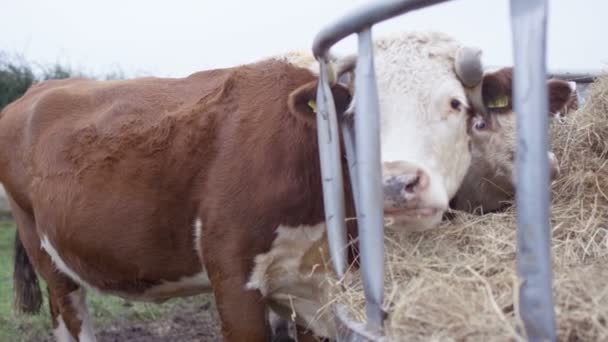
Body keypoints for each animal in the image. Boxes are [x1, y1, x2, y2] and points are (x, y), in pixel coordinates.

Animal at [2, 30, 482, 340]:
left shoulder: (313, 291)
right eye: (353, 113)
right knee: (70, 315)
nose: (396, 183)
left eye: (456, 105)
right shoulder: (233, 280)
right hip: (46, 255)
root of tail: (38, 89)